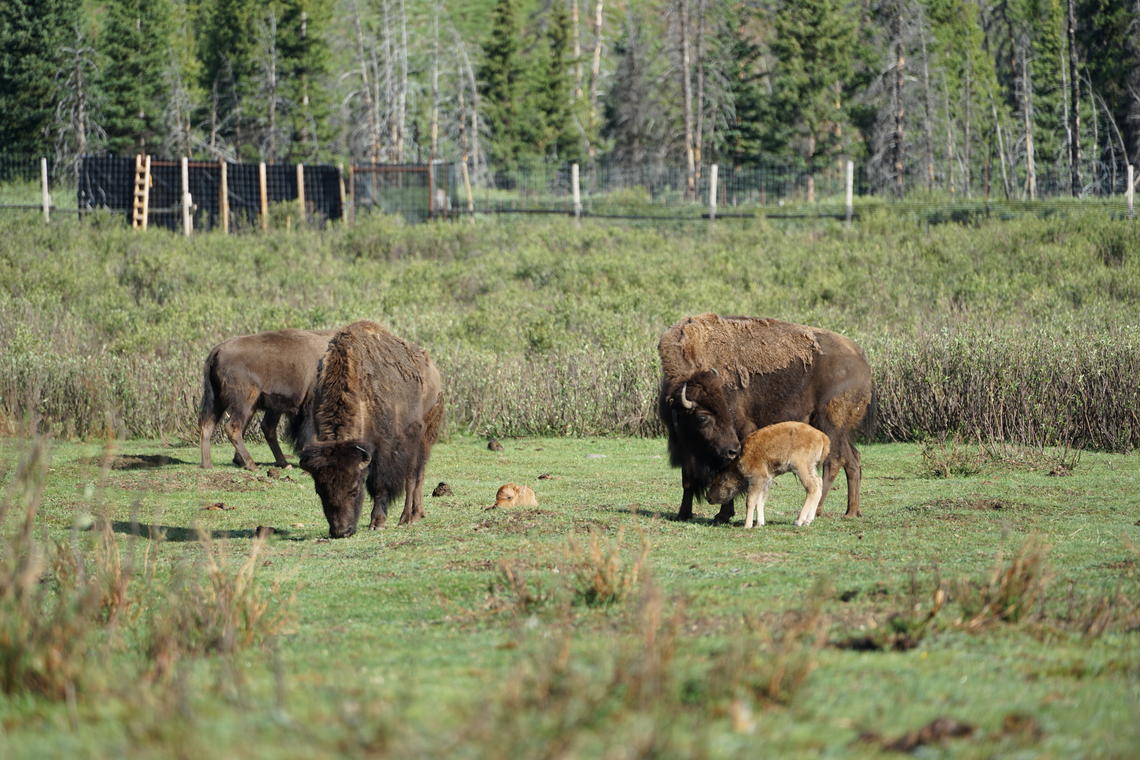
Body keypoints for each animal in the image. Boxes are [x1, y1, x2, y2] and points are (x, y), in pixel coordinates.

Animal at [198, 328, 332, 469]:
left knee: (207, 425)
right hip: (245, 402)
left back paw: (208, 464)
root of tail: (217, 350)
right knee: (233, 427)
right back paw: (252, 465)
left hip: (219, 400)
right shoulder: (310, 404)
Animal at [294, 321, 444, 540]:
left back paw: (409, 517)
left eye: (354, 489)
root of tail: (433, 371)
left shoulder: (383, 450)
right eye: (320, 491)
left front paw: (377, 523)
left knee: (414, 477)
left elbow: (379, 485)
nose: (341, 531)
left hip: (423, 438)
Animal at [661, 314, 870, 524]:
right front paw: (683, 514)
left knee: (834, 462)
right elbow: (687, 479)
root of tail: (861, 358)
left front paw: (722, 514)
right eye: (702, 417)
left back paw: (818, 511)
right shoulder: (685, 446)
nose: (732, 450)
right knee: (853, 460)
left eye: (726, 411)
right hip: (840, 432)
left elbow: (728, 473)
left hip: (830, 426)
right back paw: (852, 511)